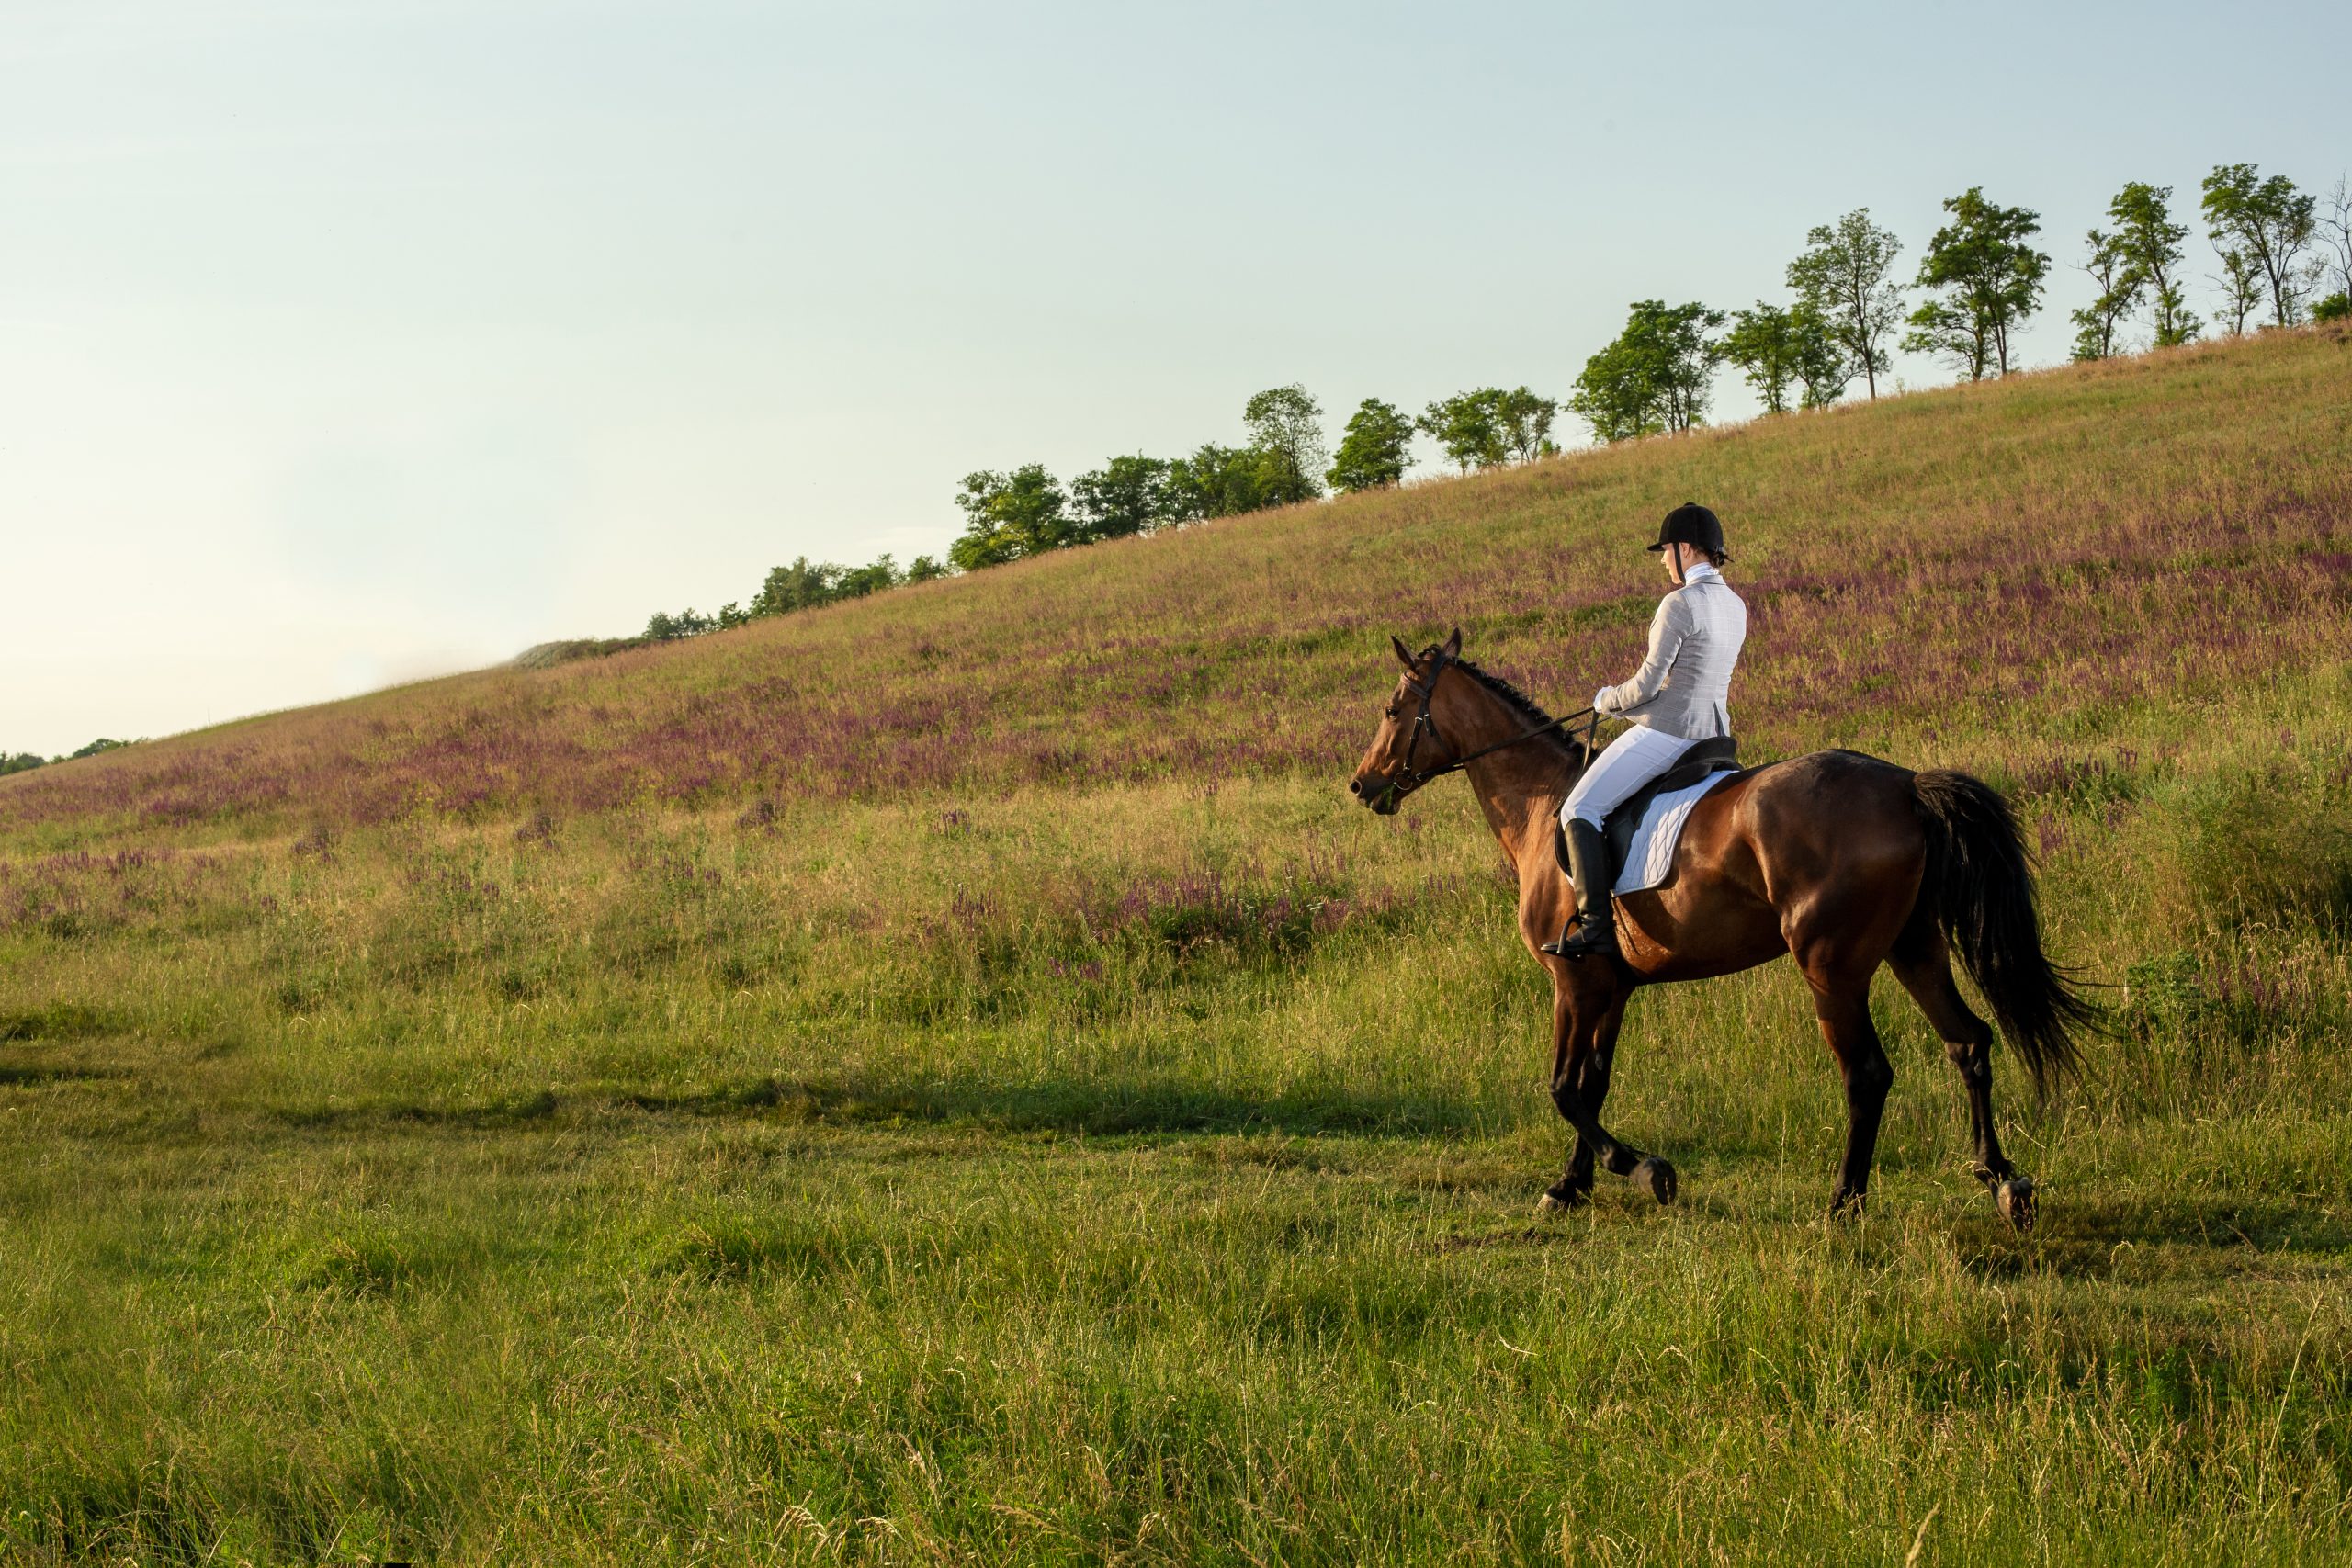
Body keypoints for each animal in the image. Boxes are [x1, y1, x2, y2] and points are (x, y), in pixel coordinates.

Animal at [1354, 629, 2107, 1232]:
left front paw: (1642, 1169)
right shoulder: (1612, 988)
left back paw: (1845, 1201)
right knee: (1968, 1042)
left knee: (1867, 1073)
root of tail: (1903, 785)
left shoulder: (1573, 980)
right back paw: (2004, 1182)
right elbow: (1593, 1083)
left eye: (1392, 711)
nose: (1362, 787)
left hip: (1832, 969)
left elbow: (1564, 1087)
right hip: (1914, 948)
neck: (1543, 808)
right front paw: (1572, 1185)